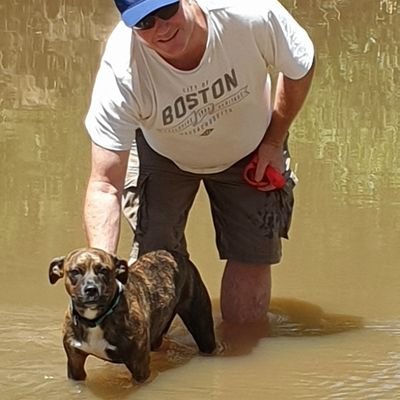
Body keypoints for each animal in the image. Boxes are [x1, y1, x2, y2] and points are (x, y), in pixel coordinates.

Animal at [48, 248, 217, 382]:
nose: (91, 289)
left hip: (202, 329)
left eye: (104, 270)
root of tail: (177, 255)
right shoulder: (75, 364)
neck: (95, 320)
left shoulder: (139, 367)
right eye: (75, 271)